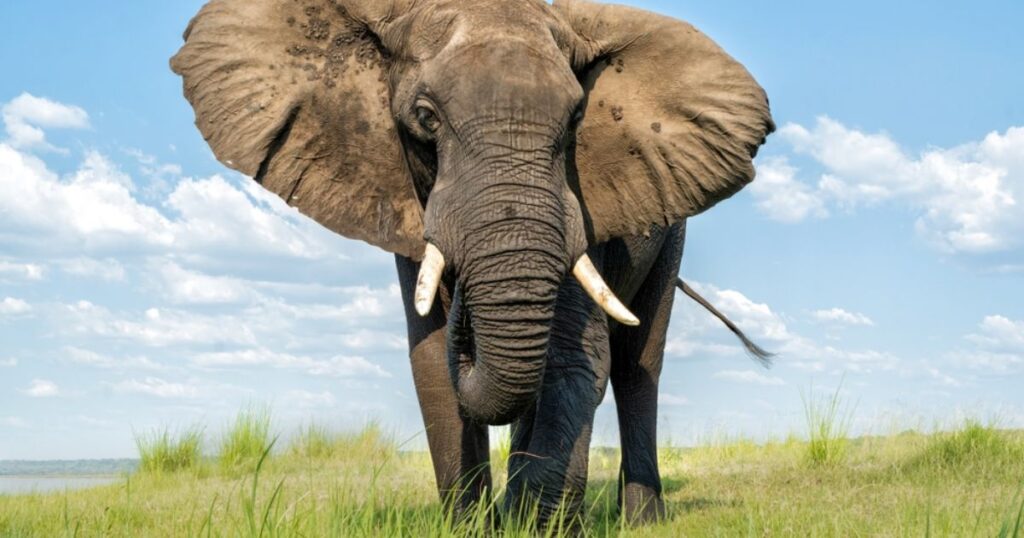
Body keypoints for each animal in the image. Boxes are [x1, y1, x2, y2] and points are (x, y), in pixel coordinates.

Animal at [171, 0, 773, 527]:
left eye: (577, 119)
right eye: (425, 117)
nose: (463, 300)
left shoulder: (582, 214)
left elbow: (575, 359)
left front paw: (534, 525)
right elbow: (433, 362)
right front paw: (482, 524)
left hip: (672, 232)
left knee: (636, 365)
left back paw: (641, 520)